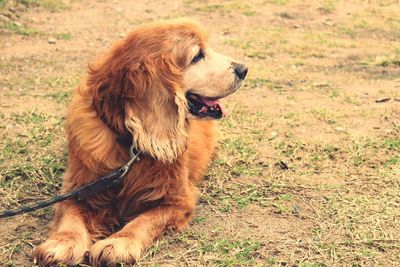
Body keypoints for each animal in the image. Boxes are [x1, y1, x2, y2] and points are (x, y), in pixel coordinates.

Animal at [34, 19, 247, 267]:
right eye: (197, 56)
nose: (243, 69)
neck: (129, 143)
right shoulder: (79, 188)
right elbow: (70, 217)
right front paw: (62, 243)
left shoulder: (177, 200)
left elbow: (145, 220)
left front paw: (119, 243)